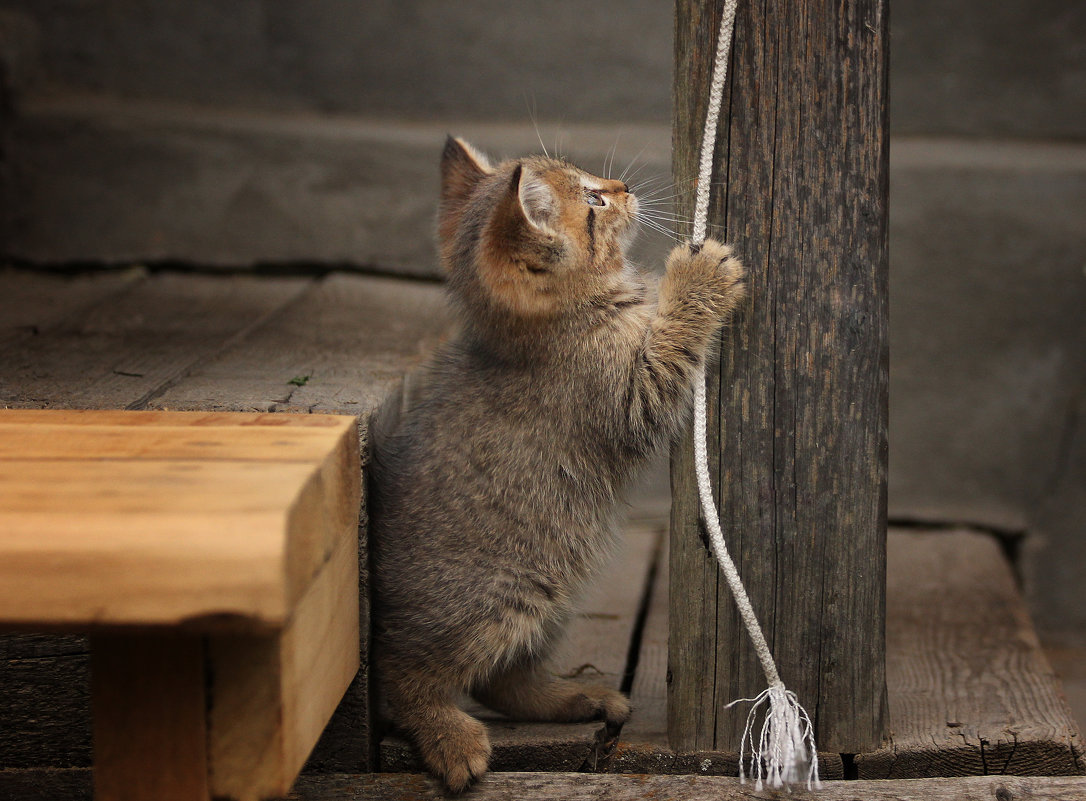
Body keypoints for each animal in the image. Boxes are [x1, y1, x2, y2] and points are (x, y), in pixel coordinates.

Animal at [369, 134, 742, 790]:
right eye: (593, 199)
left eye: (596, 183)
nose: (623, 188)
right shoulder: (629, 392)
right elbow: (669, 350)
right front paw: (696, 279)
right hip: (502, 594)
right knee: (403, 676)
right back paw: (449, 736)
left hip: (551, 587)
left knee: (502, 678)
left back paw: (572, 699)